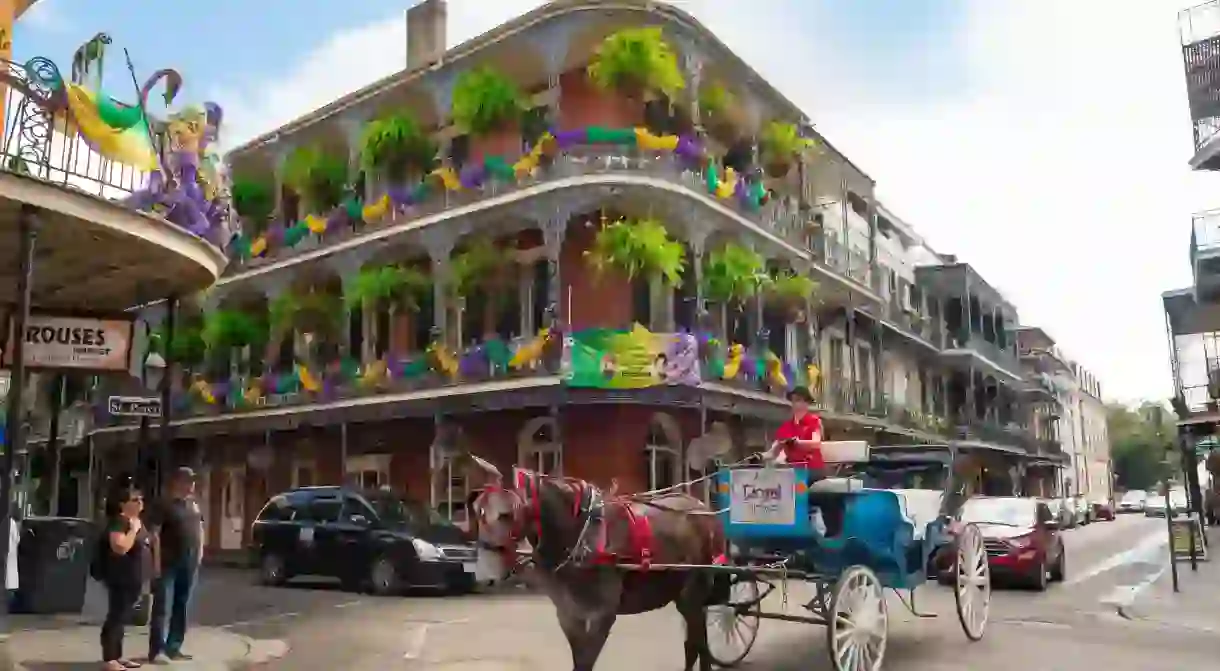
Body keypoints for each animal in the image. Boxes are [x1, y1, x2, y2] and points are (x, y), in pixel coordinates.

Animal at [458, 456, 722, 668]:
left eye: (507, 514)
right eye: (477, 510)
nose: (484, 572)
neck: (579, 537)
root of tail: (702, 508)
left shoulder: (601, 616)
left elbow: (586, 661)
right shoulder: (568, 615)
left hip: (693, 594)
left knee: (697, 643)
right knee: (695, 644)